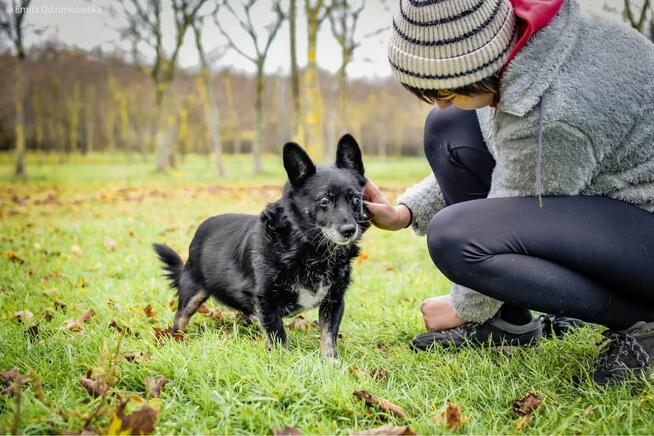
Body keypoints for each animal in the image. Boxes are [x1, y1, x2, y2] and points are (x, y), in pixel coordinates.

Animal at [153, 135, 368, 360]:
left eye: (355, 199)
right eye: (324, 200)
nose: (349, 230)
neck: (310, 248)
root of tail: (201, 229)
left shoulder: (334, 301)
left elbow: (328, 334)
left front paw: (330, 361)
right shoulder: (266, 301)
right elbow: (278, 335)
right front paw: (283, 361)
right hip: (192, 293)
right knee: (180, 318)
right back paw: (174, 338)